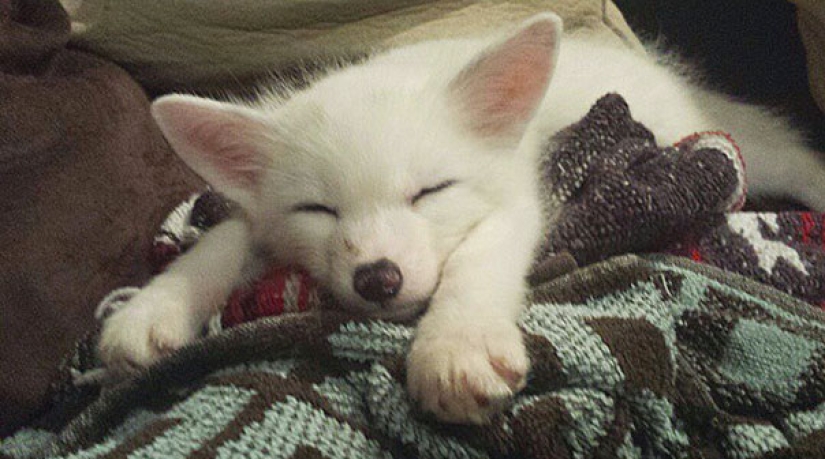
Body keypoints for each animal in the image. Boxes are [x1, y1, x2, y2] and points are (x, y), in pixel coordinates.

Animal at [98, 13, 825, 424]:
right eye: (319, 209)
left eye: (430, 191)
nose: (378, 279)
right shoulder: (262, 219)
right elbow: (223, 236)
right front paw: (153, 308)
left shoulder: (520, 199)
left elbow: (477, 260)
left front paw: (456, 345)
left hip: (730, 142)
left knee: (791, 155)